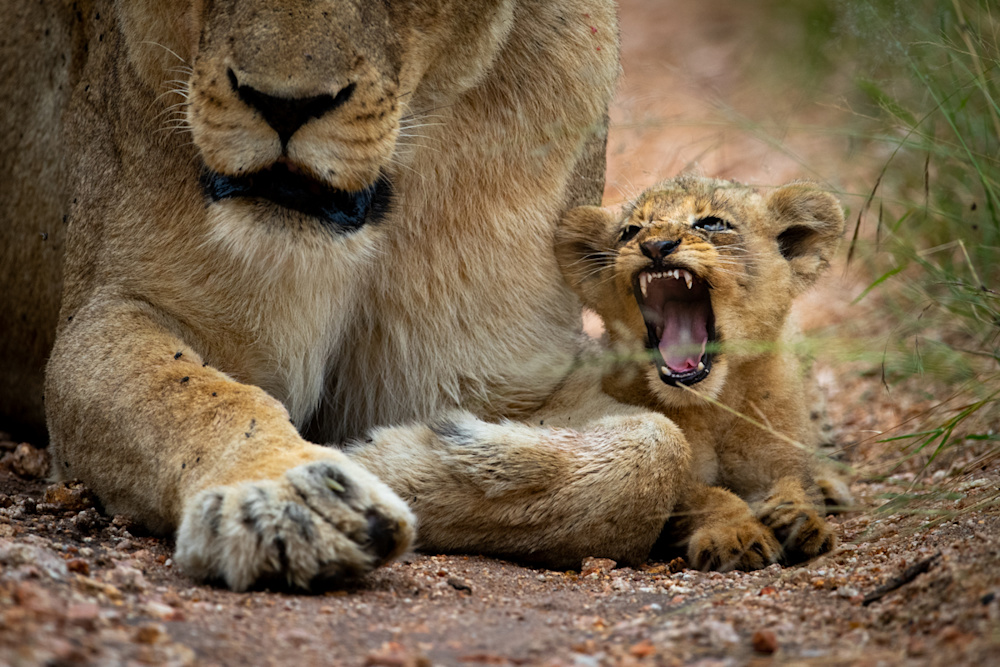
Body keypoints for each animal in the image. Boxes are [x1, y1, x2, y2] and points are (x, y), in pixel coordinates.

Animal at [1, 0, 719, 590]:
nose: (284, 105)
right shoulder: (114, 310)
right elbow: (193, 395)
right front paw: (290, 499)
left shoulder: (510, 374)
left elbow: (659, 453)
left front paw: (401, 460)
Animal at [554, 175, 847, 570]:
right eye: (631, 231)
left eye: (711, 224)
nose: (655, 245)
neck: (715, 404)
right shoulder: (670, 484)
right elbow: (703, 498)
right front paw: (737, 535)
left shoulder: (782, 459)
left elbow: (799, 483)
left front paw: (798, 519)